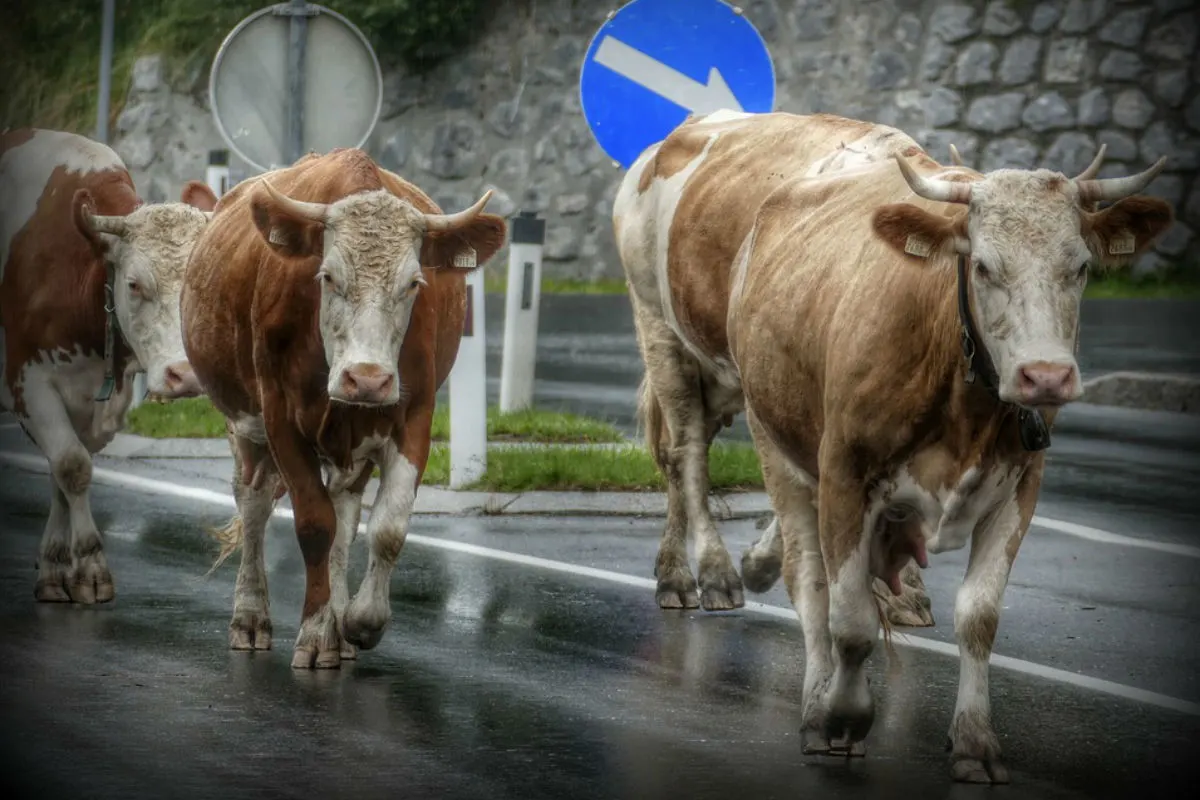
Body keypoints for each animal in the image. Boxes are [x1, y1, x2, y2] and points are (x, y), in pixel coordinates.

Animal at [0, 127, 217, 604]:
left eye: (198, 281)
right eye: (134, 284)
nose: (186, 375)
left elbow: (61, 475)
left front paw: (58, 566)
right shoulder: (29, 383)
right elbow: (72, 467)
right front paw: (90, 565)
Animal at [181, 148, 506, 669]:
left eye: (414, 283)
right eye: (328, 276)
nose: (367, 378)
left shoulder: (415, 417)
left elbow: (385, 528)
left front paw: (359, 620)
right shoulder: (280, 418)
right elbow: (314, 525)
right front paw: (316, 633)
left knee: (344, 516)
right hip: (246, 427)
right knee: (253, 504)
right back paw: (251, 616)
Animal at [615, 110, 1172, 783]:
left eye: (1082, 267)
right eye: (983, 266)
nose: (1046, 376)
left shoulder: (1019, 486)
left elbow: (979, 617)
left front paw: (975, 740)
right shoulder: (842, 470)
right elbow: (848, 618)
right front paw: (841, 715)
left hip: (731, 385)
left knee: (683, 463)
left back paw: (694, 571)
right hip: (666, 337)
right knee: (694, 464)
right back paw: (713, 577)